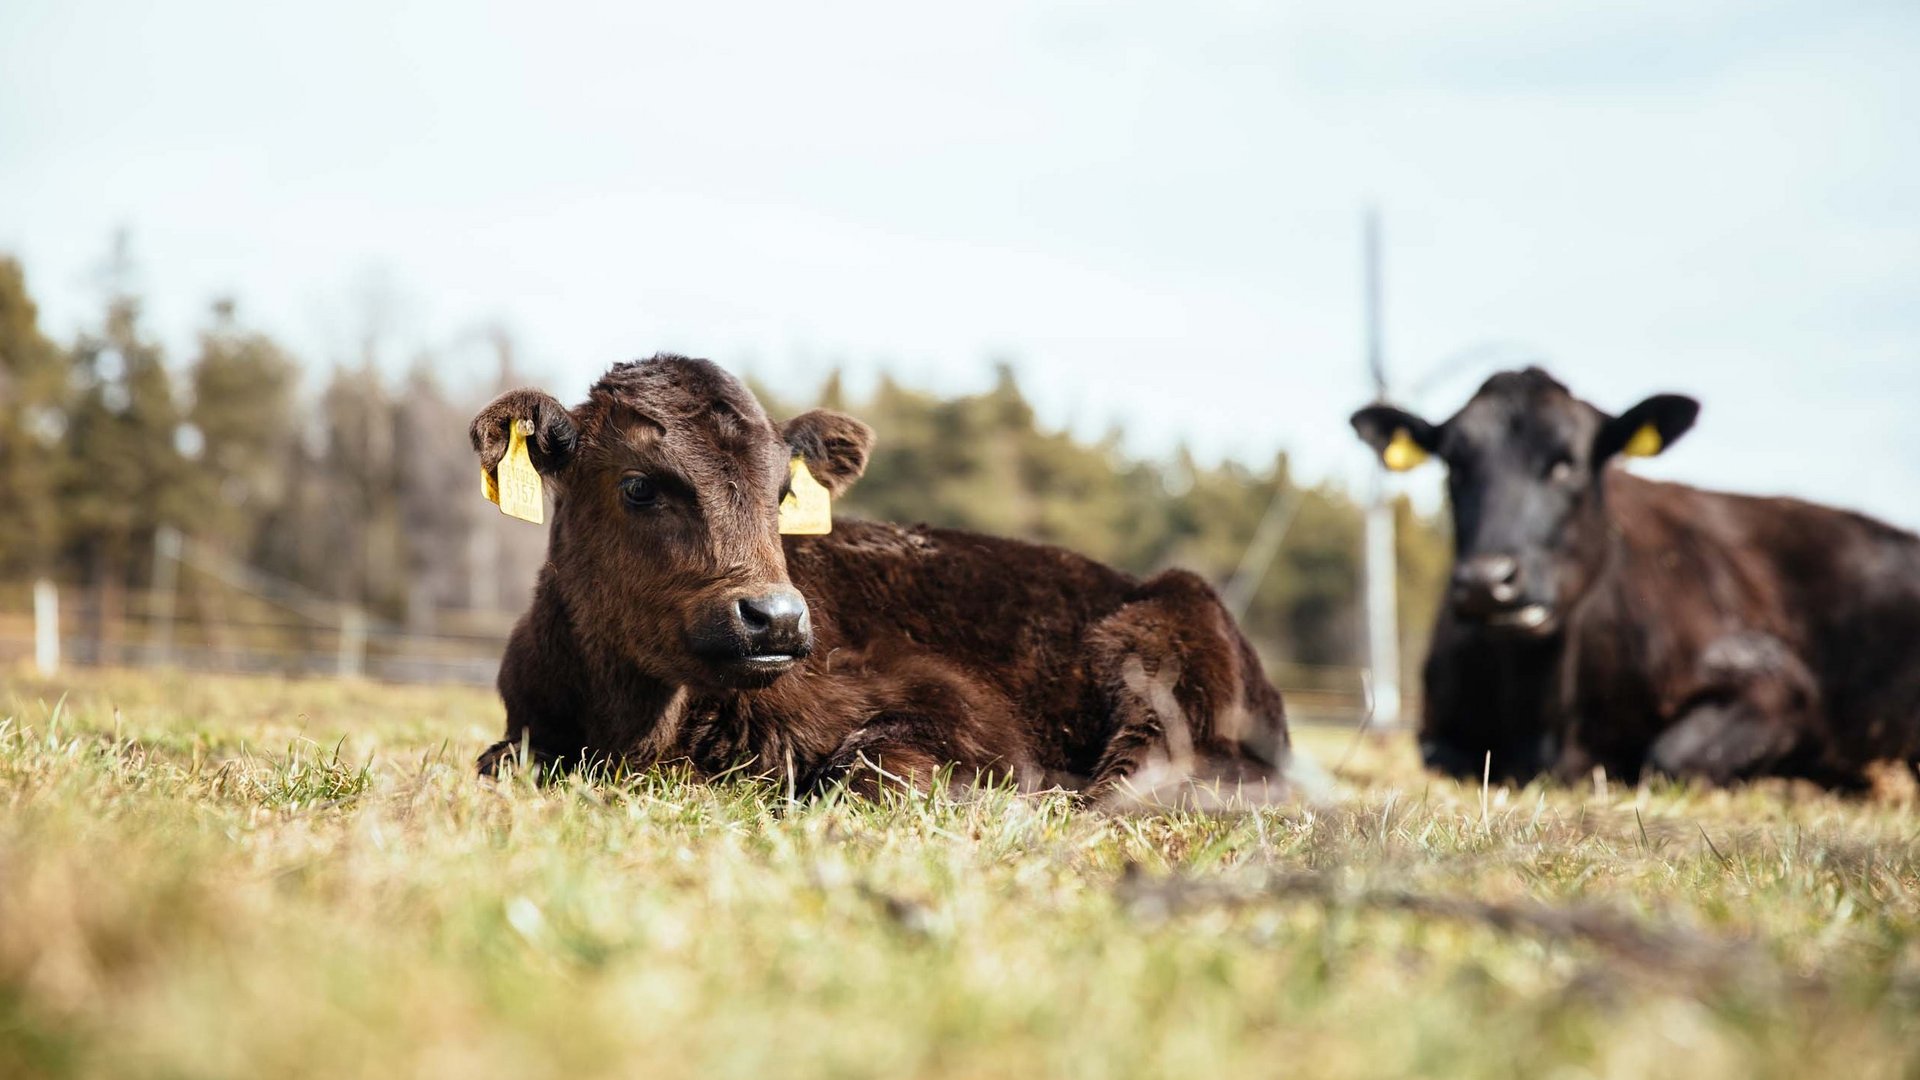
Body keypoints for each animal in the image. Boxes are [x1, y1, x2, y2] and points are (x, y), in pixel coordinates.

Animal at [1351, 367, 1920, 780]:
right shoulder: (1435, 728)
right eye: (1455, 465)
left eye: (1567, 463)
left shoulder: (1776, 682)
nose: (1488, 582)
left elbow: (1669, 756)